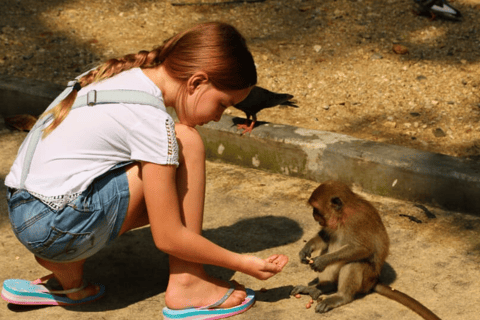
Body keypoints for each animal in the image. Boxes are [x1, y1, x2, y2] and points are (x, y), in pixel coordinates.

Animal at [290, 180, 440, 320]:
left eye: (316, 209)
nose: (313, 214)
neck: (343, 215)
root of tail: (374, 280)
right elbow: (326, 237)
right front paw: (306, 249)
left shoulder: (357, 220)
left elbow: (363, 248)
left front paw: (322, 261)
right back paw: (322, 287)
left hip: (367, 278)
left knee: (354, 262)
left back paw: (341, 296)